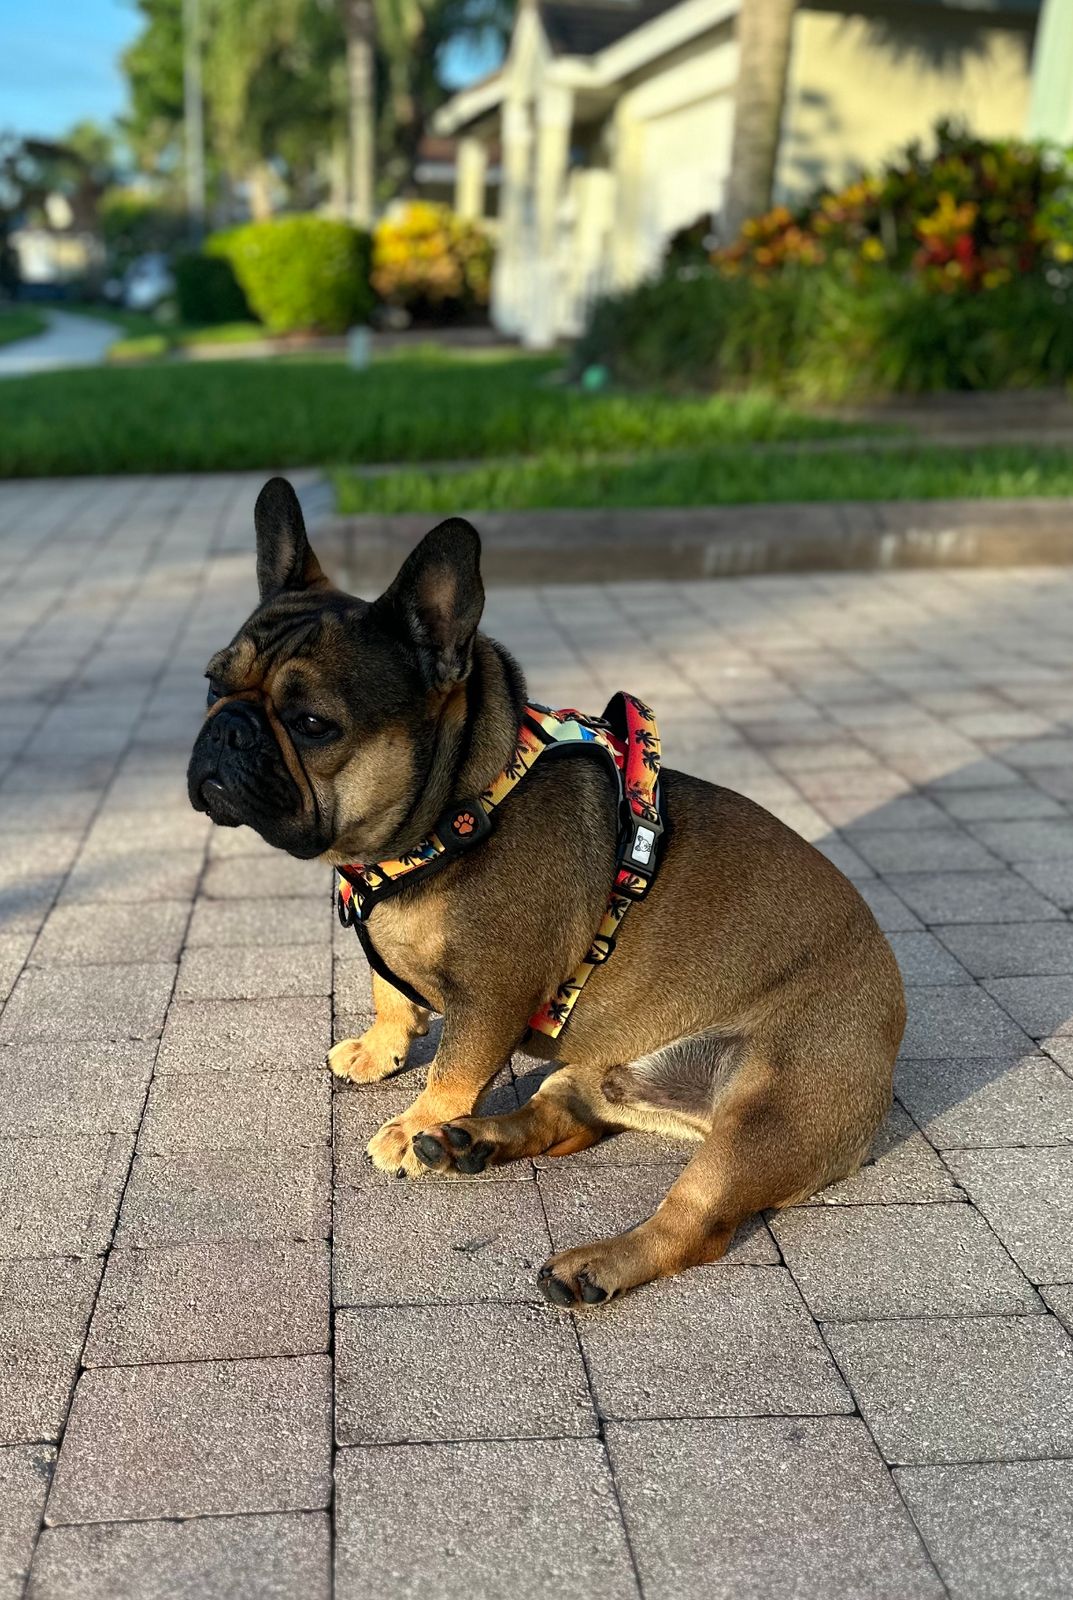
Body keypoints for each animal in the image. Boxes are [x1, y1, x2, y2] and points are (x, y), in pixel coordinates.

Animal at [187, 476, 906, 1306]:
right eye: (211, 684)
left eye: (310, 723)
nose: (227, 728)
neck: (453, 814)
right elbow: (389, 991)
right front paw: (382, 1049)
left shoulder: (494, 989)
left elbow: (456, 1064)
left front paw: (414, 1120)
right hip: (596, 1072)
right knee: (562, 1118)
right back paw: (470, 1143)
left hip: (768, 1111)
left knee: (694, 1223)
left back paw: (586, 1260)